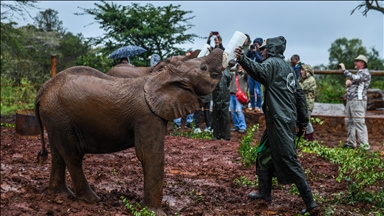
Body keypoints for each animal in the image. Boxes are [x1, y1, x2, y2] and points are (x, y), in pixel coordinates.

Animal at [34, 47, 224, 214]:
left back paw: (61, 195)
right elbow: (150, 155)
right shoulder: (147, 116)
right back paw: (91, 200)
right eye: (203, 67)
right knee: (72, 155)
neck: (162, 74)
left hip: (55, 118)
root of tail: (43, 89)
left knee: (58, 155)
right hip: (60, 116)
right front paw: (154, 212)